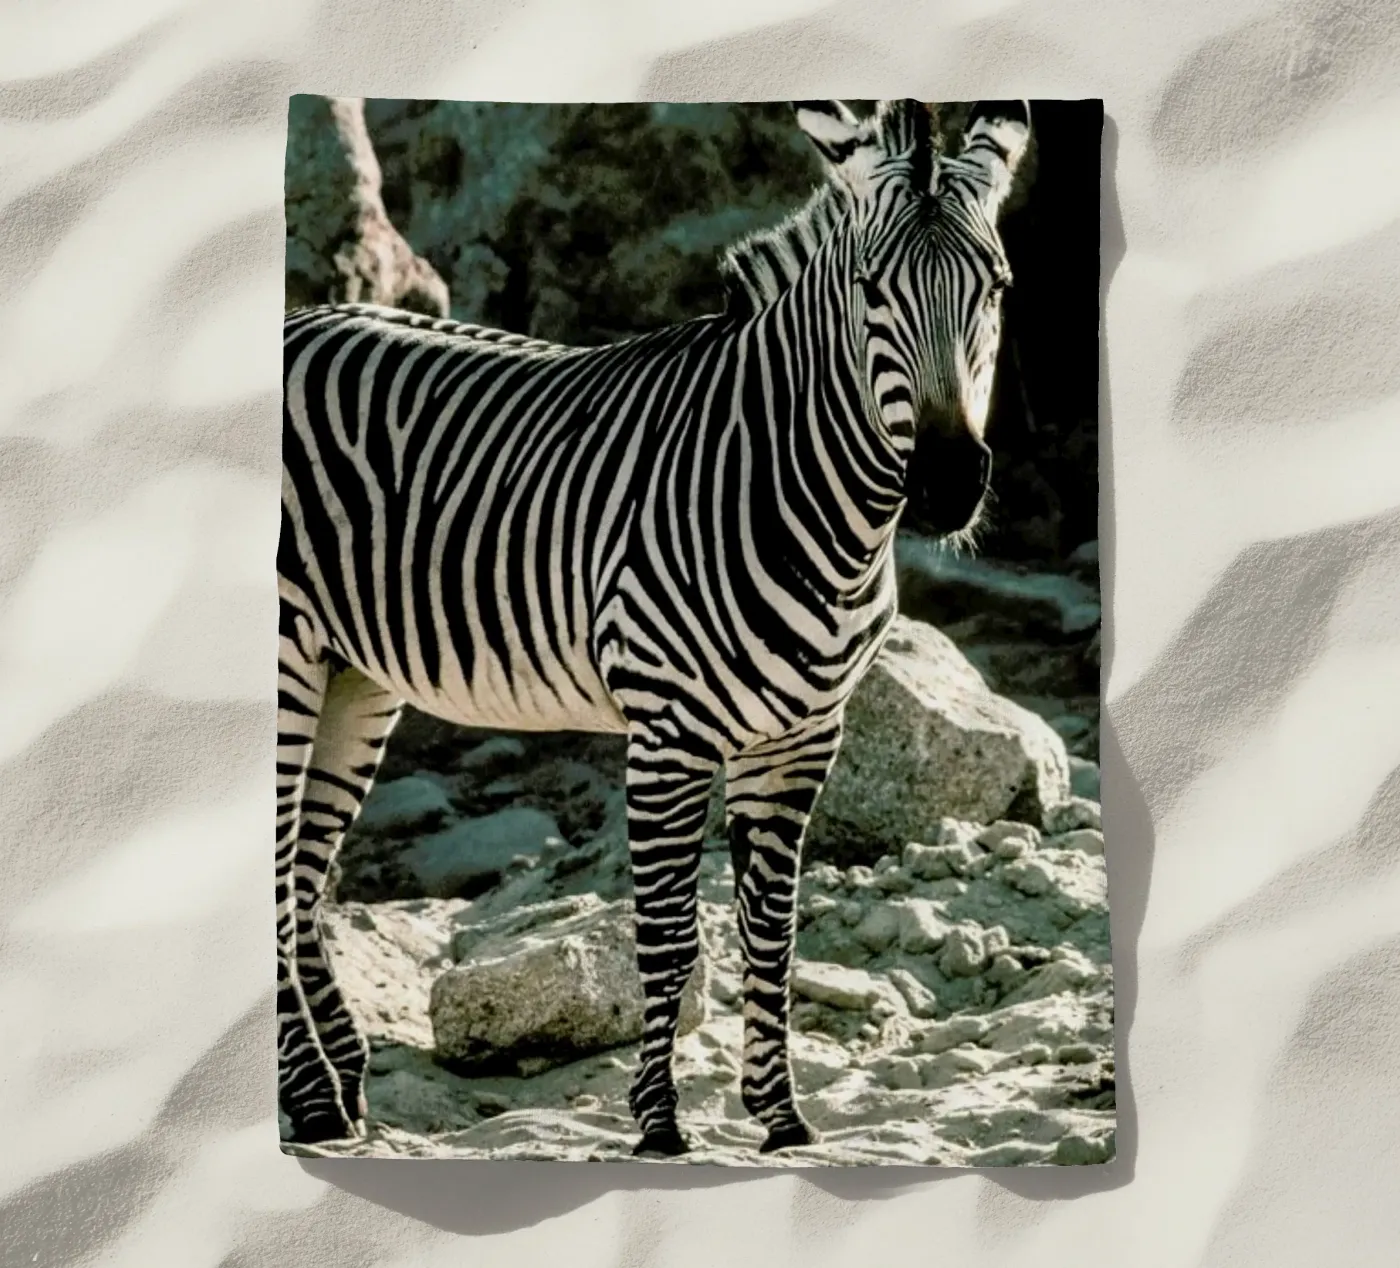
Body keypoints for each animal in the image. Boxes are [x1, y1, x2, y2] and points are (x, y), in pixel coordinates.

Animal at [278, 98, 1030, 1156]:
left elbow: (773, 934)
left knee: (302, 879)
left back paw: (336, 1093)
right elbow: (670, 941)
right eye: (868, 289)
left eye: (996, 287)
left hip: (354, 674)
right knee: (274, 877)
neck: (806, 497)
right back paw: (311, 1097)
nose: (949, 485)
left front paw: (781, 1116)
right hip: (285, 655)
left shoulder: (803, 738)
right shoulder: (668, 732)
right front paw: (660, 1123)